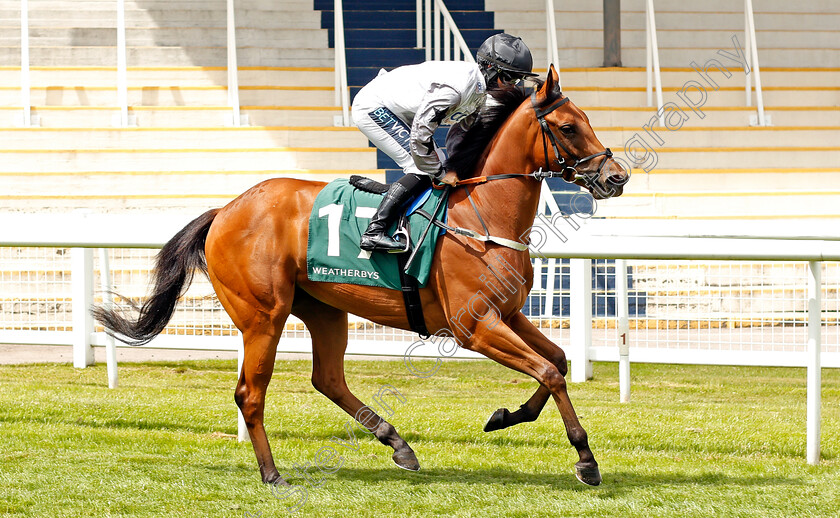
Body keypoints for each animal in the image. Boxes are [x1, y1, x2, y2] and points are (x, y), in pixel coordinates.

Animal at [95, 67, 628, 490]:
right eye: (567, 126)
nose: (616, 177)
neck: (481, 215)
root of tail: (225, 209)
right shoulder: (473, 327)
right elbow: (549, 371)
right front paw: (586, 459)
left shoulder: (509, 314)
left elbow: (556, 362)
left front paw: (506, 416)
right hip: (263, 315)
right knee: (251, 392)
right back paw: (272, 473)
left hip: (324, 309)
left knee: (327, 378)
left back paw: (398, 445)